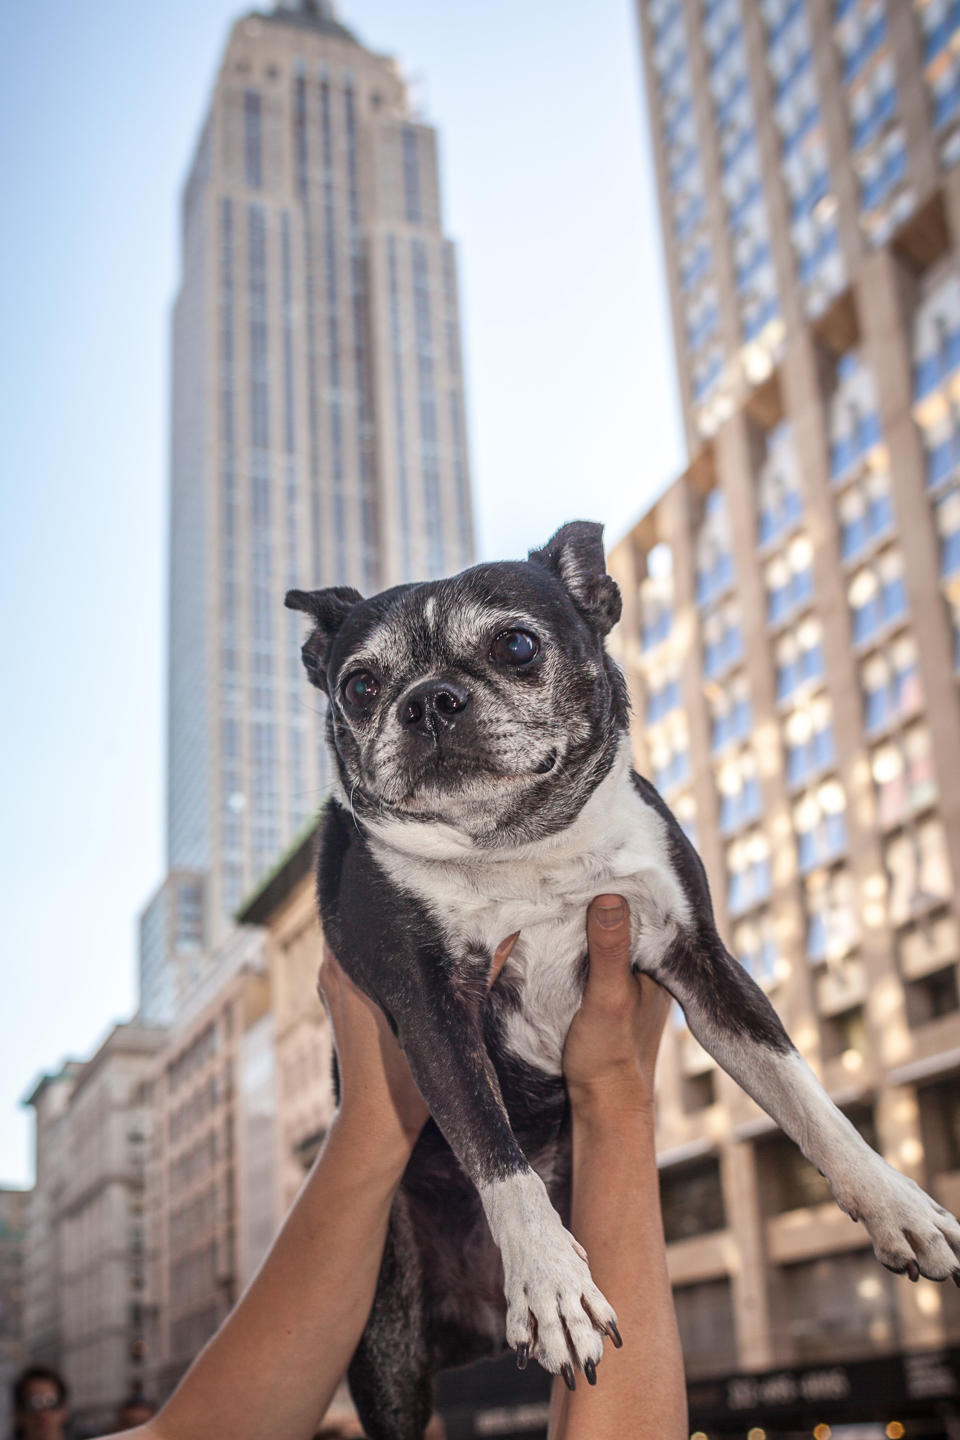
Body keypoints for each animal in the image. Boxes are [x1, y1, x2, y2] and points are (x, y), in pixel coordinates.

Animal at [289, 521, 960, 1440]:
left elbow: (803, 1093)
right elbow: (493, 1146)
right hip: (388, 1343)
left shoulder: (704, 965)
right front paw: (550, 1278)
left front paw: (893, 1201)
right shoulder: (431, 1011)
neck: (519, 848)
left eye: (516, 644)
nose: (427, 701)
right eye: (359, 686)